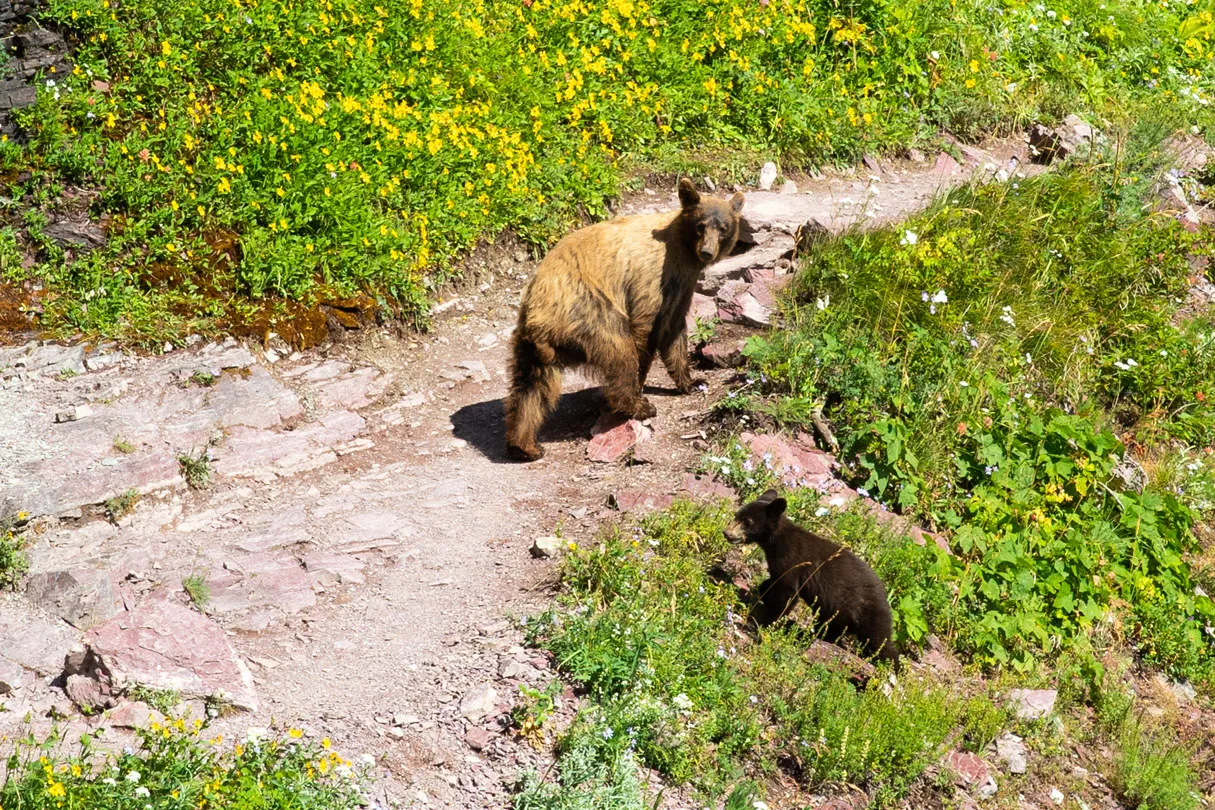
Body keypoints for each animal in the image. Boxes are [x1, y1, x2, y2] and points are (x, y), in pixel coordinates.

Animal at [503, 178, 745, 461]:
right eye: (700, 226)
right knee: (619, 350)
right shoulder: (652, 276)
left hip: (529, 344)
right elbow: (647, 328)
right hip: (588, 309)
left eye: (723, 228)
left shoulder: (683, 284)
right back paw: (636, 405)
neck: (684, 251)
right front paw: (643, 386)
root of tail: (537, 318)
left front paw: (693, 381)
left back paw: (525, 446)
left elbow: (674, 330)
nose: (707, 251)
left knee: (530, 389)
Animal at [724, 489, 901, 666]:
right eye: (736, 515)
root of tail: (885, 596)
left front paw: (765, 622)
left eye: (747, 521)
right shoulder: (777, 566)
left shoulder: (792, 561)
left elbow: (787, 594)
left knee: (880, 642)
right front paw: (764, 594)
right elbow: (773, 583)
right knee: (832, 627)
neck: (776, 542)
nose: (726, 533)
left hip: (869, 612)